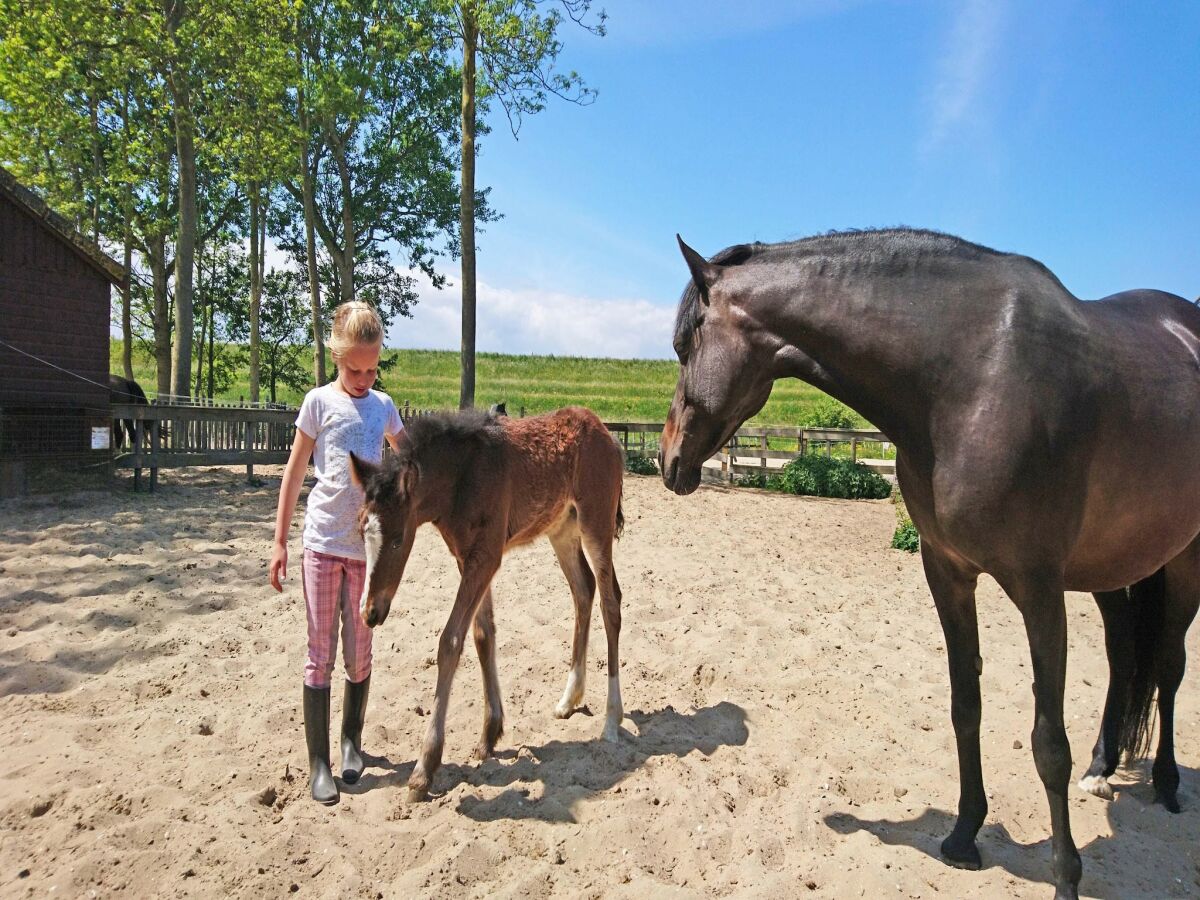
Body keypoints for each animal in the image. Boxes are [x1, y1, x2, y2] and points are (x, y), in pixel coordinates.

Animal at [350, 405, 624, 801]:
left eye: (399, 538)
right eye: (360, 530)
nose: (370, 612)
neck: (463, 477)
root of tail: (606, 433)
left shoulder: (486, 558)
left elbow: (450, 641)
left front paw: (424, 768)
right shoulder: (469, 558)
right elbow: (483, 635)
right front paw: (489, 733)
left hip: (596, 523)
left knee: (610, 602)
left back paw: (612, 720)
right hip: (562, 528)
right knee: (583, 590)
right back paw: (569, 698)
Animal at [657, 230, 1200, 900]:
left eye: (685, 345)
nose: (666, 459)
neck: (969, 379)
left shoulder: (1039, 590)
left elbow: (1048, 743)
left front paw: (1066, 878)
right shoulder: (948, 572)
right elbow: (965, 703)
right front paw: (964, 835)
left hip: (1183, 560)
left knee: (1169, 666)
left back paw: (1168, 784)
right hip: (1114, 569)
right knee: (1126, 659)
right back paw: (1103, 767)